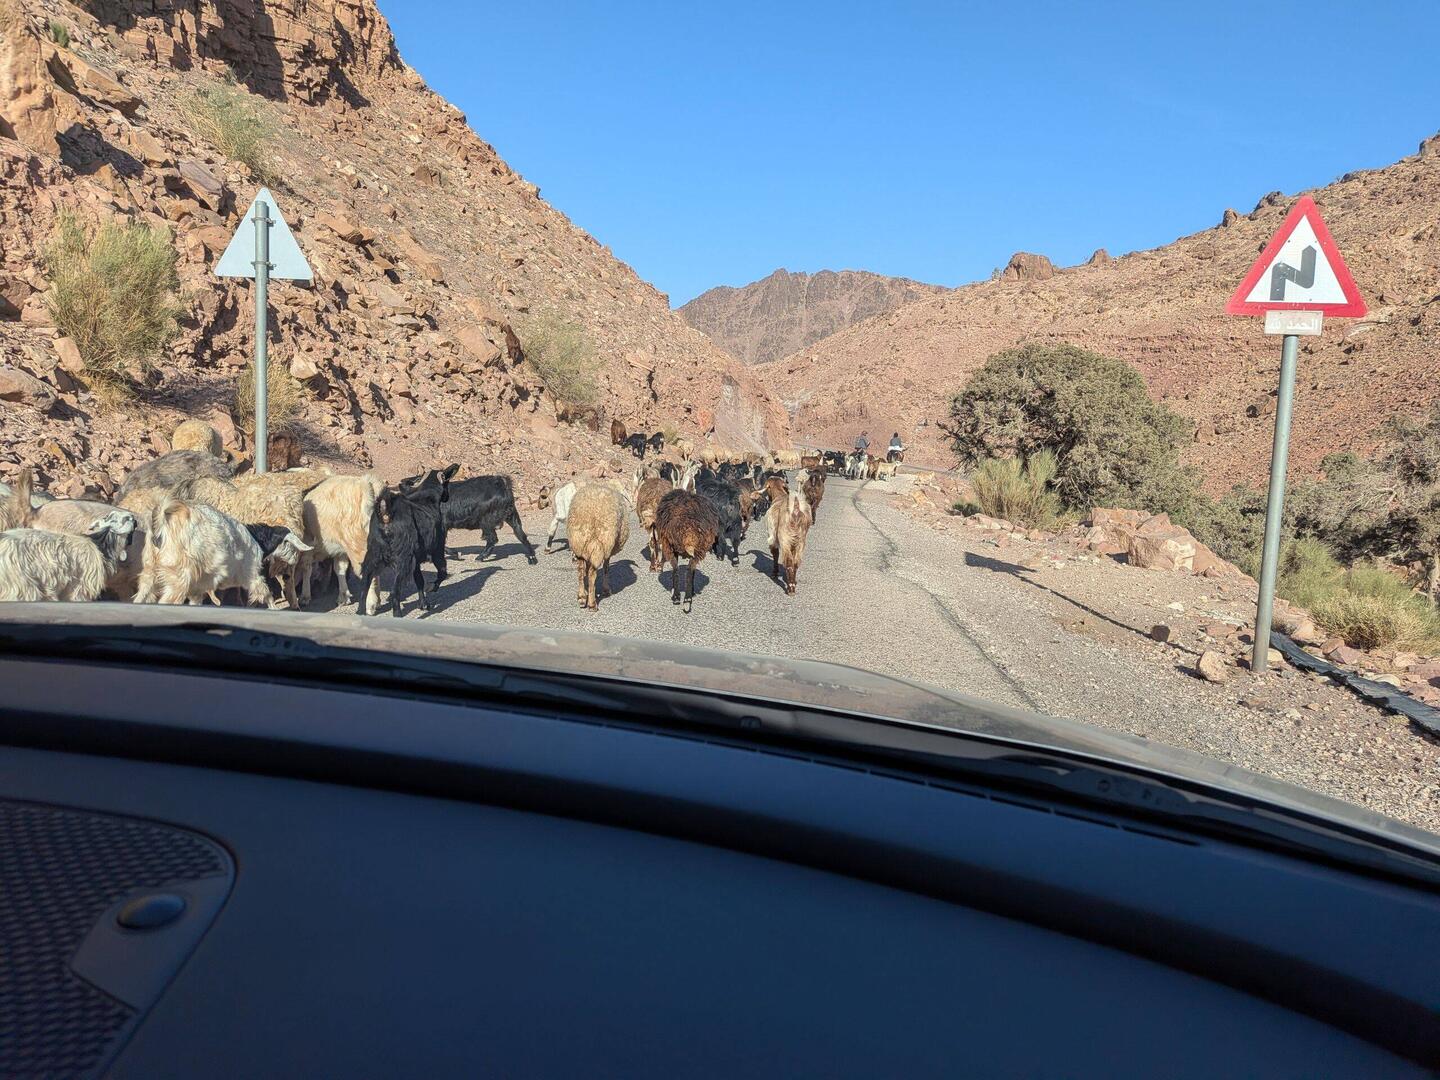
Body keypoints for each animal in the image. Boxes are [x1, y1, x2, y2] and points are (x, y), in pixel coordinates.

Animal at [136, 498, 273, 606]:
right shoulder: (252, 574)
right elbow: (266, 593)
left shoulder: (197, 589)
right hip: (179, 577)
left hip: (150, 572)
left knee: (141, 596)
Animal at [299, 473, 384, 609]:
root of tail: (365, 484)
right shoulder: (340, 550)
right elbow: (340, 569)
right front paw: (343, 596)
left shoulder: (307, 544)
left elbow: (306, 568)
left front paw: (305, 596)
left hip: (359, 547)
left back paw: (371, 604)